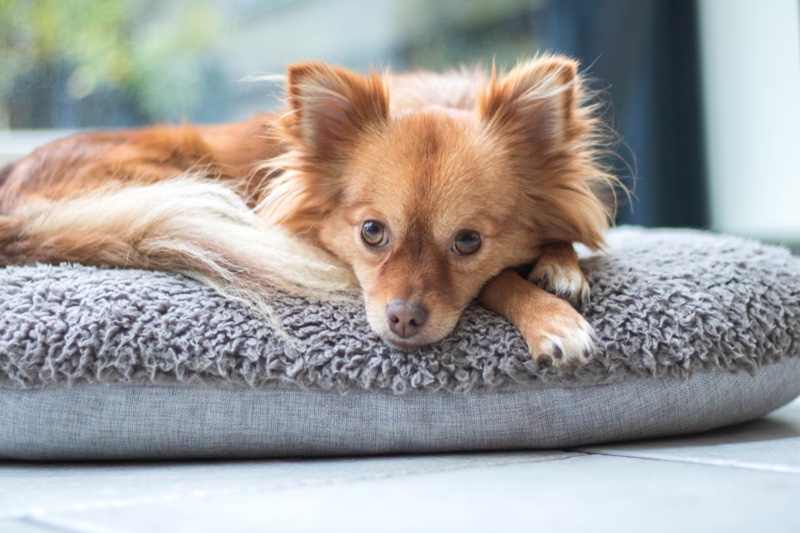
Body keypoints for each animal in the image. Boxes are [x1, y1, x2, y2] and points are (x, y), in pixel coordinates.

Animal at [0, 56, 620, 368]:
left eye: (468, 242)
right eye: (372, 232)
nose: (403, 318)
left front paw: (559, 264)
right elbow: (498, 281)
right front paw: (553, 318)